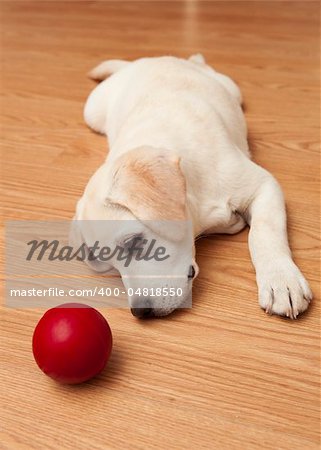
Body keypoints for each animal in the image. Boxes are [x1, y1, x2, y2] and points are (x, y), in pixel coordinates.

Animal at [73, 54, 310, 318]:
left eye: (134, 242)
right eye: (109, 263)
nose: (140, 311)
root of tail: (146, 60)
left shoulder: (264, 185)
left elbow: (264, 233)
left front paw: (280, 280)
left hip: (231, 89)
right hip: (93, 111)